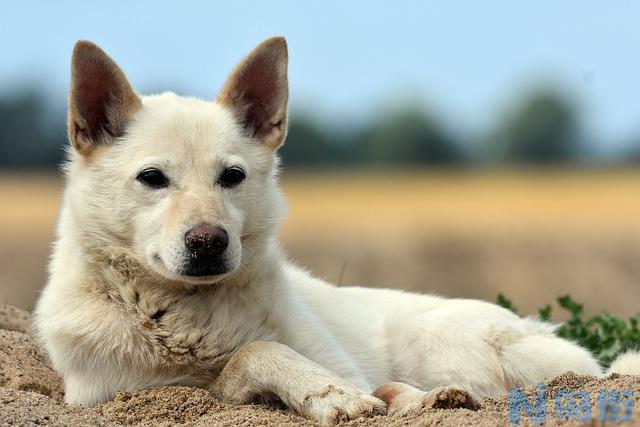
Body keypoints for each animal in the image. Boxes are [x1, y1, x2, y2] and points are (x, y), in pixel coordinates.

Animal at [35, 37, 640, 427]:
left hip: (455, 346)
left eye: (232, 176)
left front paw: (337, 395)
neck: (192, 315)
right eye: (152, 178)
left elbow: (261, 353)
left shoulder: (335, 360)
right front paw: (328, 395)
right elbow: (247, 360)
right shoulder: (118, 394)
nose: (208, 241)